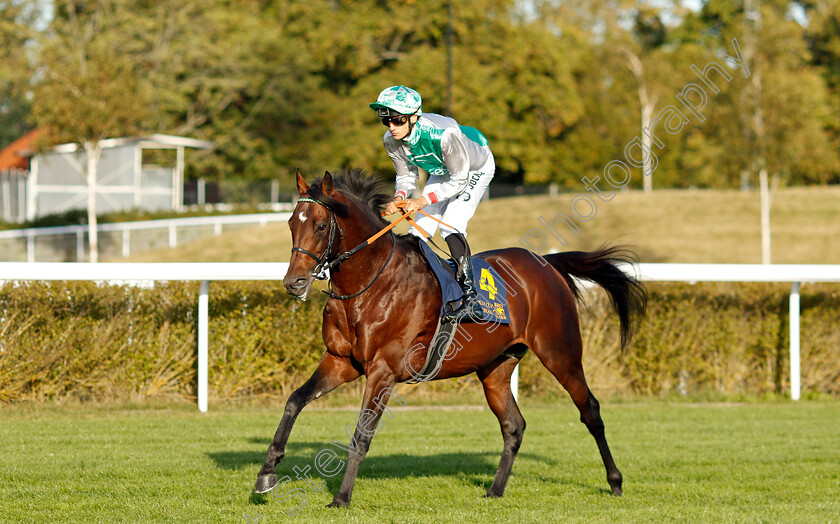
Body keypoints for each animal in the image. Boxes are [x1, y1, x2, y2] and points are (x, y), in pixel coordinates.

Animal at [256, 169, 648, 508]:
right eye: (291, 223)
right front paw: (266, 473)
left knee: (590, 411)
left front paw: (341, 498)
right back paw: (495, 490)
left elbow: (361, 435)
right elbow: (294, 401)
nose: (293, 283)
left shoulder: (383, 371)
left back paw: (615, 482)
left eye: (321, 225)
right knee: (514, 426)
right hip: (495, 367)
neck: (369, 283)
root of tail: (547, 264)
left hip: (560, 353)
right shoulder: (341, 362)